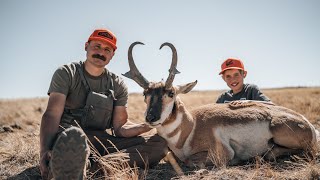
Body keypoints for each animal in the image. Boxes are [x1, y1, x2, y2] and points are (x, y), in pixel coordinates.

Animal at [122, 41, 318, 167]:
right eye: (145, 93)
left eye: (171, 93)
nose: (151, 117)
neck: (191, 126)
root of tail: (307, 123)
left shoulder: (219, 153)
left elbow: (189, 161)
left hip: (278, 128)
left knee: (302, 151)